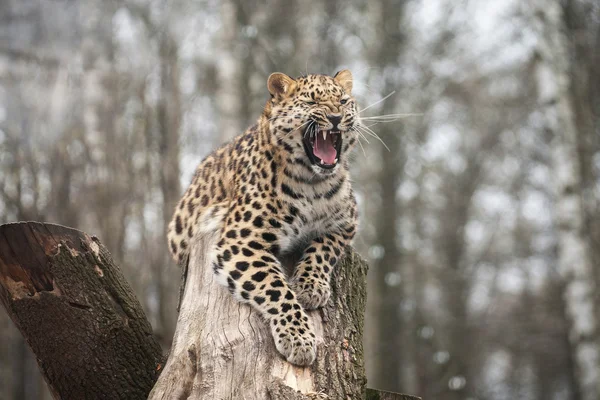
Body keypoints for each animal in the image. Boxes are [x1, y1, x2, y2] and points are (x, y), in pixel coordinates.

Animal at [166, 69, 358, 366]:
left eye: (343, 101)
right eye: (312, 102)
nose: (337, 117)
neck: (312, 184)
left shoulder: (346, 222)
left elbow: (323, 249)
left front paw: (310, 286)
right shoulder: (240, 242)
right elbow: (275, 287)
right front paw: (298, 339)